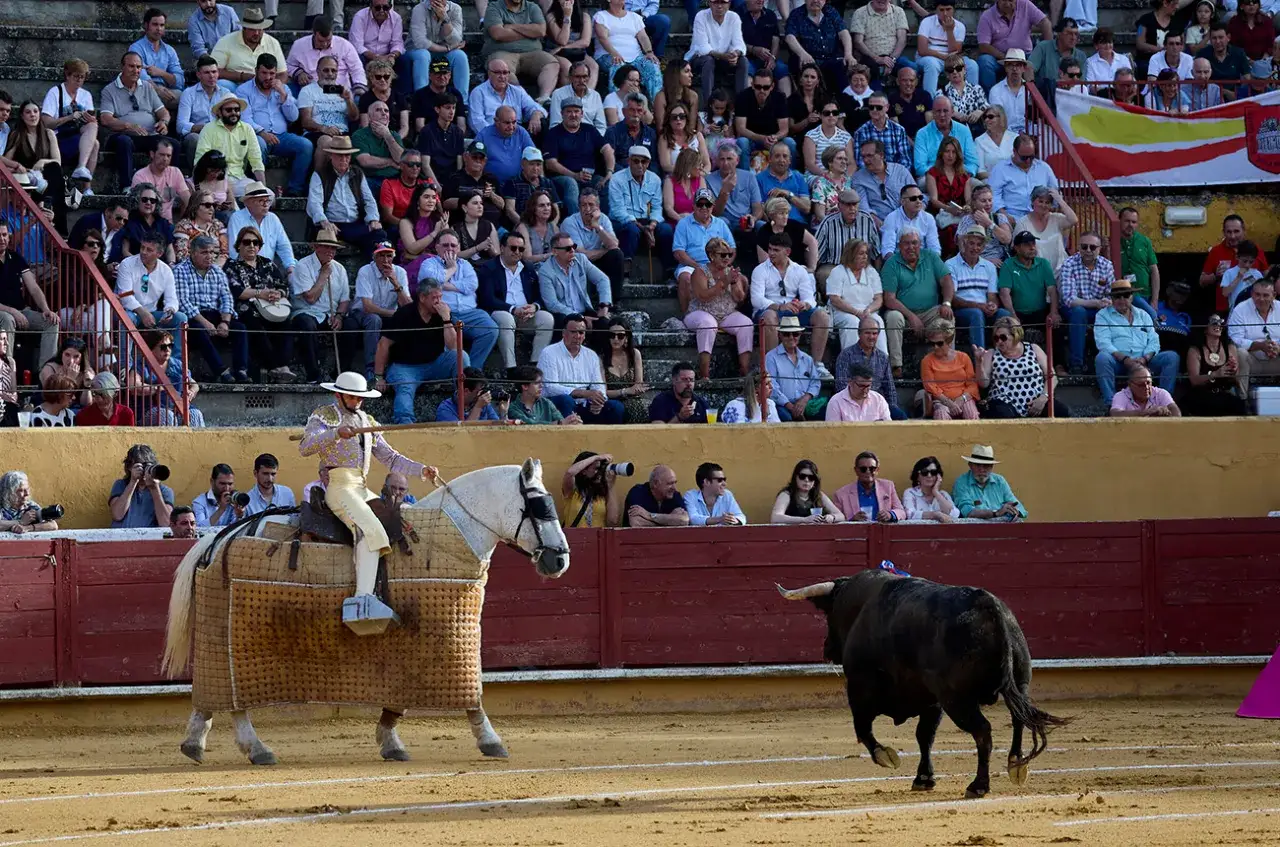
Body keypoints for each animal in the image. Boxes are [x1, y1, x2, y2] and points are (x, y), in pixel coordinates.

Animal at [161, 459, 570, 766]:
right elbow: (473, 697)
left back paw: (195, 743)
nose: (560, 560)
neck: (453, 529)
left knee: (213, 693)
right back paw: (257, 748)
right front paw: (490, 740)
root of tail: (220, 538)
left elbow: (400, 696)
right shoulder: (450, 640)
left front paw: (390, 741)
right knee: (233, 699)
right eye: (540, 505)